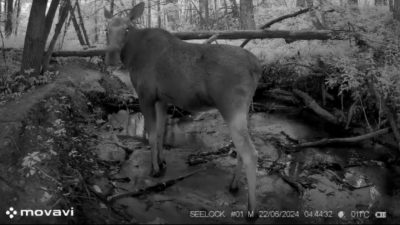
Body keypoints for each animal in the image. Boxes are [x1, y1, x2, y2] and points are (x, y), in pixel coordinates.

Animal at [104, 1, 262, 216]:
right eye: (106, 29)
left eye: (127, 29)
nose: (111, 56)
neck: (131, 58)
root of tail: (257, 67)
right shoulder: (162, 99)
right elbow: (160, 133)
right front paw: (162, 162)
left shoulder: (145, 95)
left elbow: (151, 135)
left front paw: (154, 169)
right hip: (244, 107)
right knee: (241, 148)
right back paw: (234, 184)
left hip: (231, 106)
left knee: (250, 153)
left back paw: (251, 209)